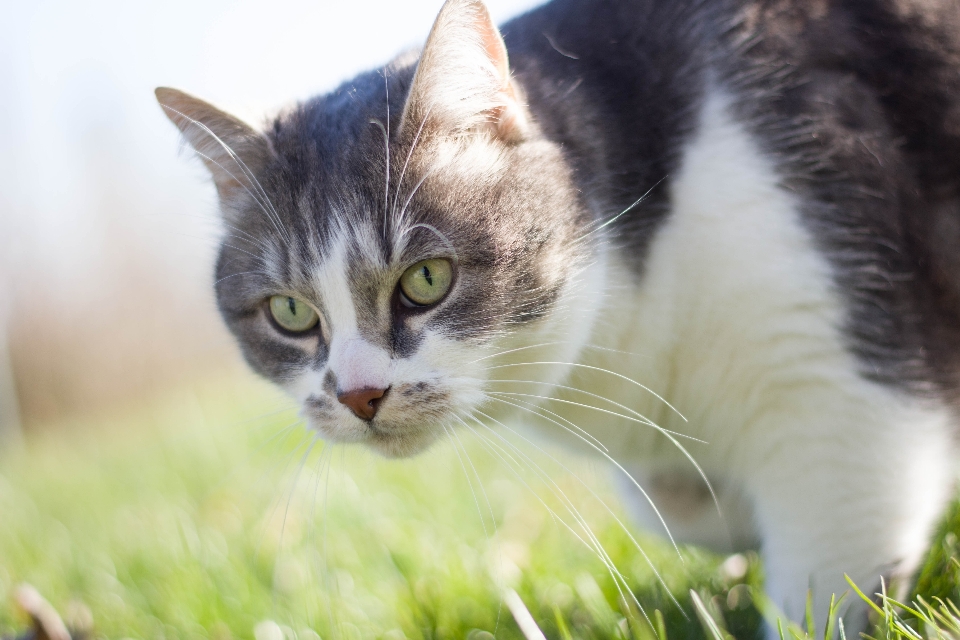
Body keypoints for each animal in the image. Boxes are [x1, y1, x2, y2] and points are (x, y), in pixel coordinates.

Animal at [154, 0, 960, 632]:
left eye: (426, 279)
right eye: (290, 312)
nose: (358, 395)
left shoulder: (832, 393)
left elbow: (825, 579)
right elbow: (679, 504)